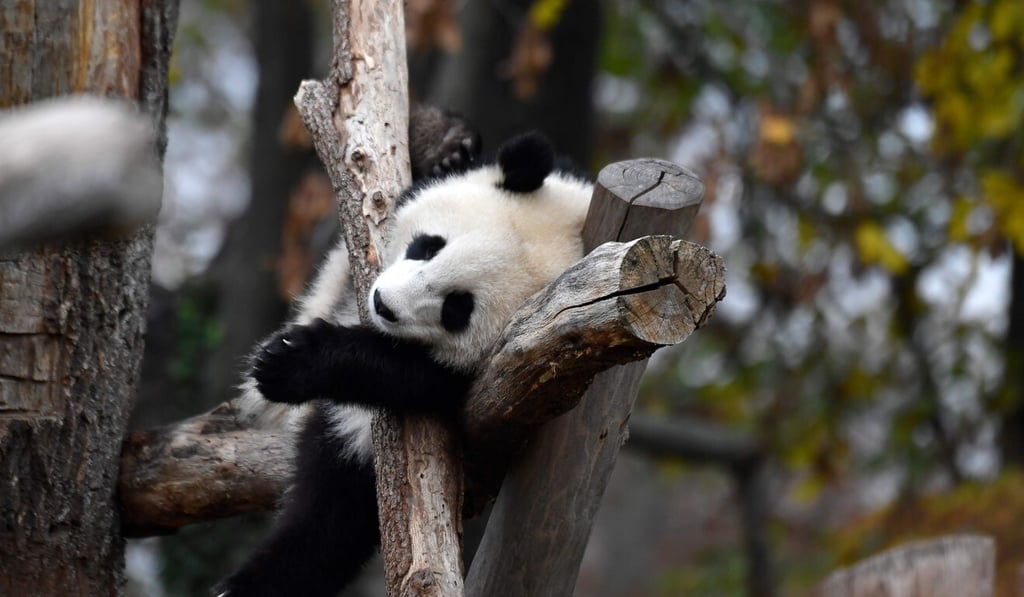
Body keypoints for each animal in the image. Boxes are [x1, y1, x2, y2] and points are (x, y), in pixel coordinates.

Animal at [215, 109, 593, 597]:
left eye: (457, 309)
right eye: (429, 246)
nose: (383, 304)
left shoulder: (507, 364)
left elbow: (401, 374)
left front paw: (291, 363)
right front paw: (447, 145)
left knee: (328, 521)